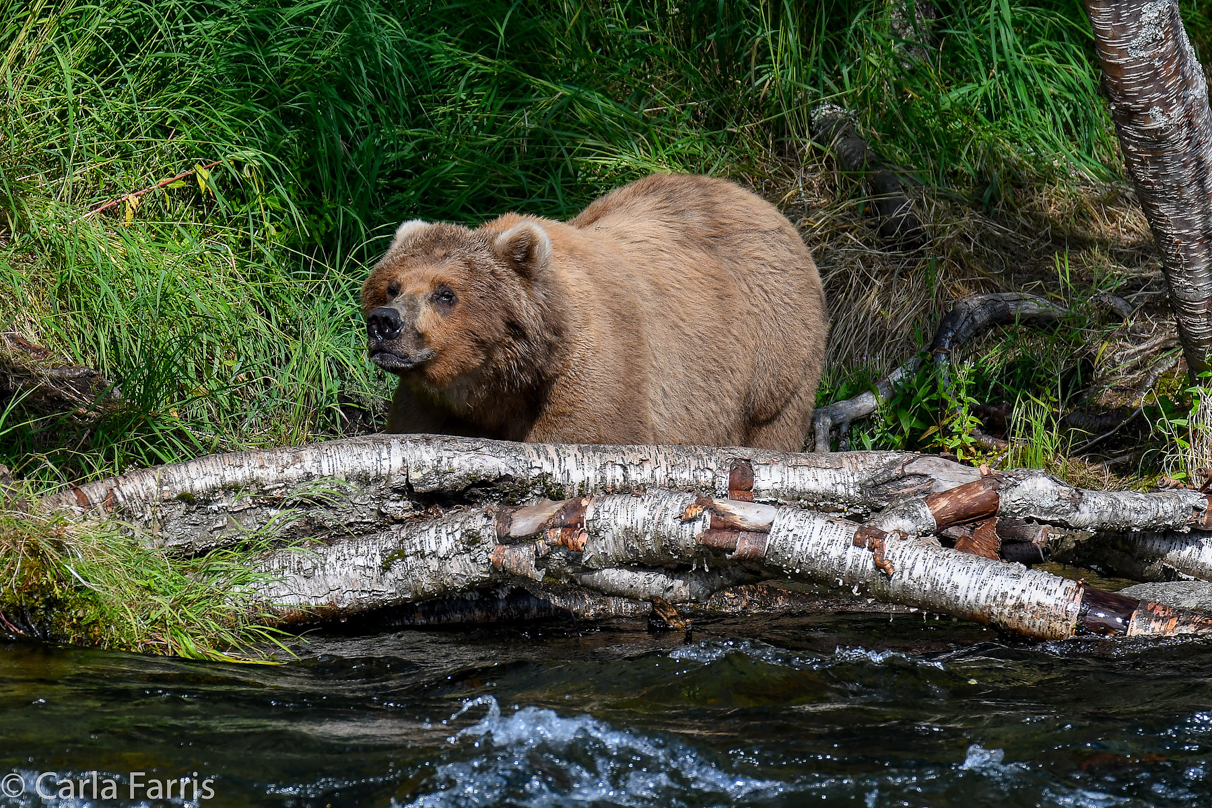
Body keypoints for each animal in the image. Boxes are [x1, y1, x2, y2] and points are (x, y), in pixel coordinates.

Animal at [358, 174, 829, 453]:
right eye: (392, 285)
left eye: (445, 293)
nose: (385, 321)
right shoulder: (432, 401)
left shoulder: (600, 360)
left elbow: (586, 432)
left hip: (772, 357)